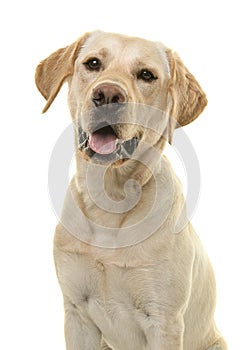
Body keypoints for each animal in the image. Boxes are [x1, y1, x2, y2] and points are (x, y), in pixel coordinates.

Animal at [36, 30, 228, 350]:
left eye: (146, 75)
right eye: (93, 63)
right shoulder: (77, 313)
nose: (107, 94)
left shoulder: (164, 322)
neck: (110, 202)